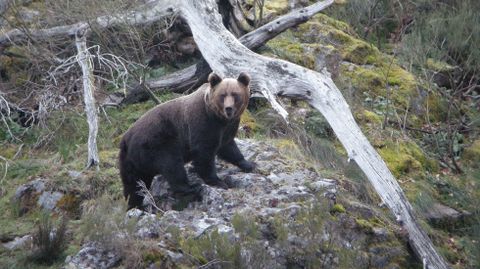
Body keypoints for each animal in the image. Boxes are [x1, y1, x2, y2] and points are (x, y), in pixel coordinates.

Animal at [119, 71, 255, 207]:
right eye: (222, 95)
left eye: (235, 94)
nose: (228, 108)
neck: (219, 118)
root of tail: (125, 139)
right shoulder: (203, 123)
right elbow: (204, 152)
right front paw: (217, 181)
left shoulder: (227, 128)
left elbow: (228, 147)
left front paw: (249, 164)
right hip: (157, 142)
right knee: (172, 165)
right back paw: (191, 187)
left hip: (131, 162)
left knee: (134, 185)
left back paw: (135, 205)